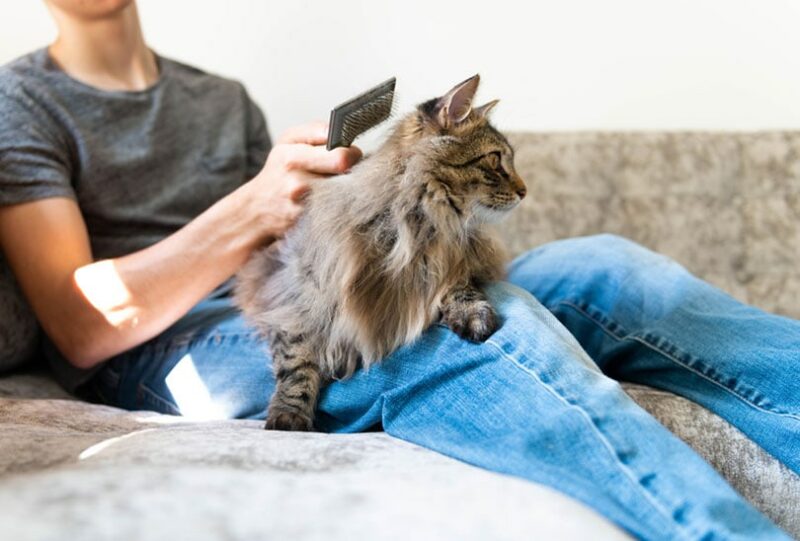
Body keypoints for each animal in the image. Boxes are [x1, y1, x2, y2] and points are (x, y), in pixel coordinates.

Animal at [234, 75, 528, 430]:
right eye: (496, 161)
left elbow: (456, 285)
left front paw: (471, 313)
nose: (525, 191)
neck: (416, 225)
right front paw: (289, 414)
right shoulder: (292, 300)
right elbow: (296, 364)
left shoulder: (448, 259)